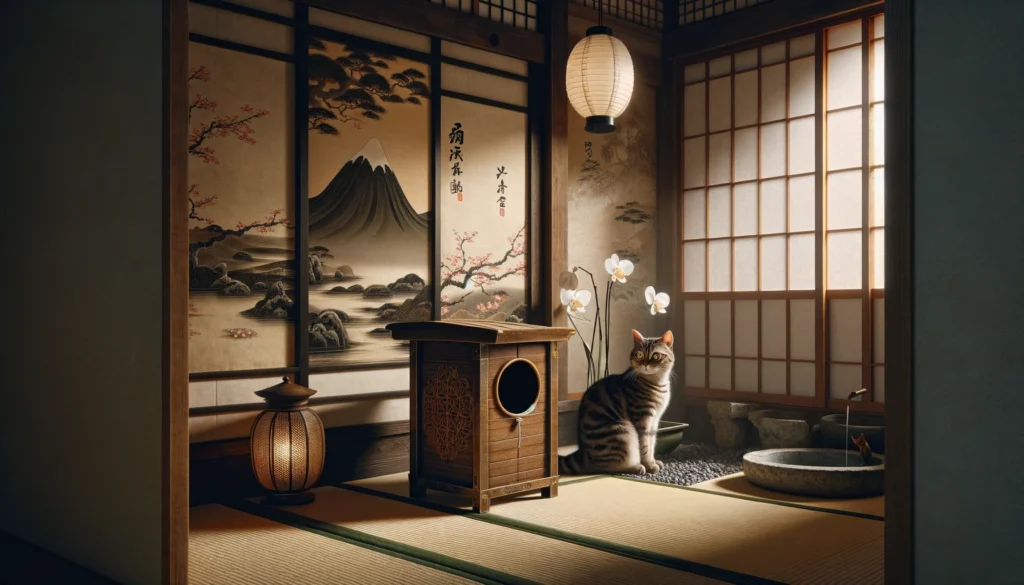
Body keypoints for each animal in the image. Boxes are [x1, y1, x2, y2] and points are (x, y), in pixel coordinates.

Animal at [557, 329, 675, 475]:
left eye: (656, 356)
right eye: (639, 354)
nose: (645, 364)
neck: (657, 383)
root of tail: (582, 455)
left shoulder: (655, 421)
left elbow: (652, 444)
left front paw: (653, 461)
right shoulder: (643, 419)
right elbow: (644, 446)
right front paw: (649, 465)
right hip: (623, 432)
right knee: (608, 467)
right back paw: (636, 467)